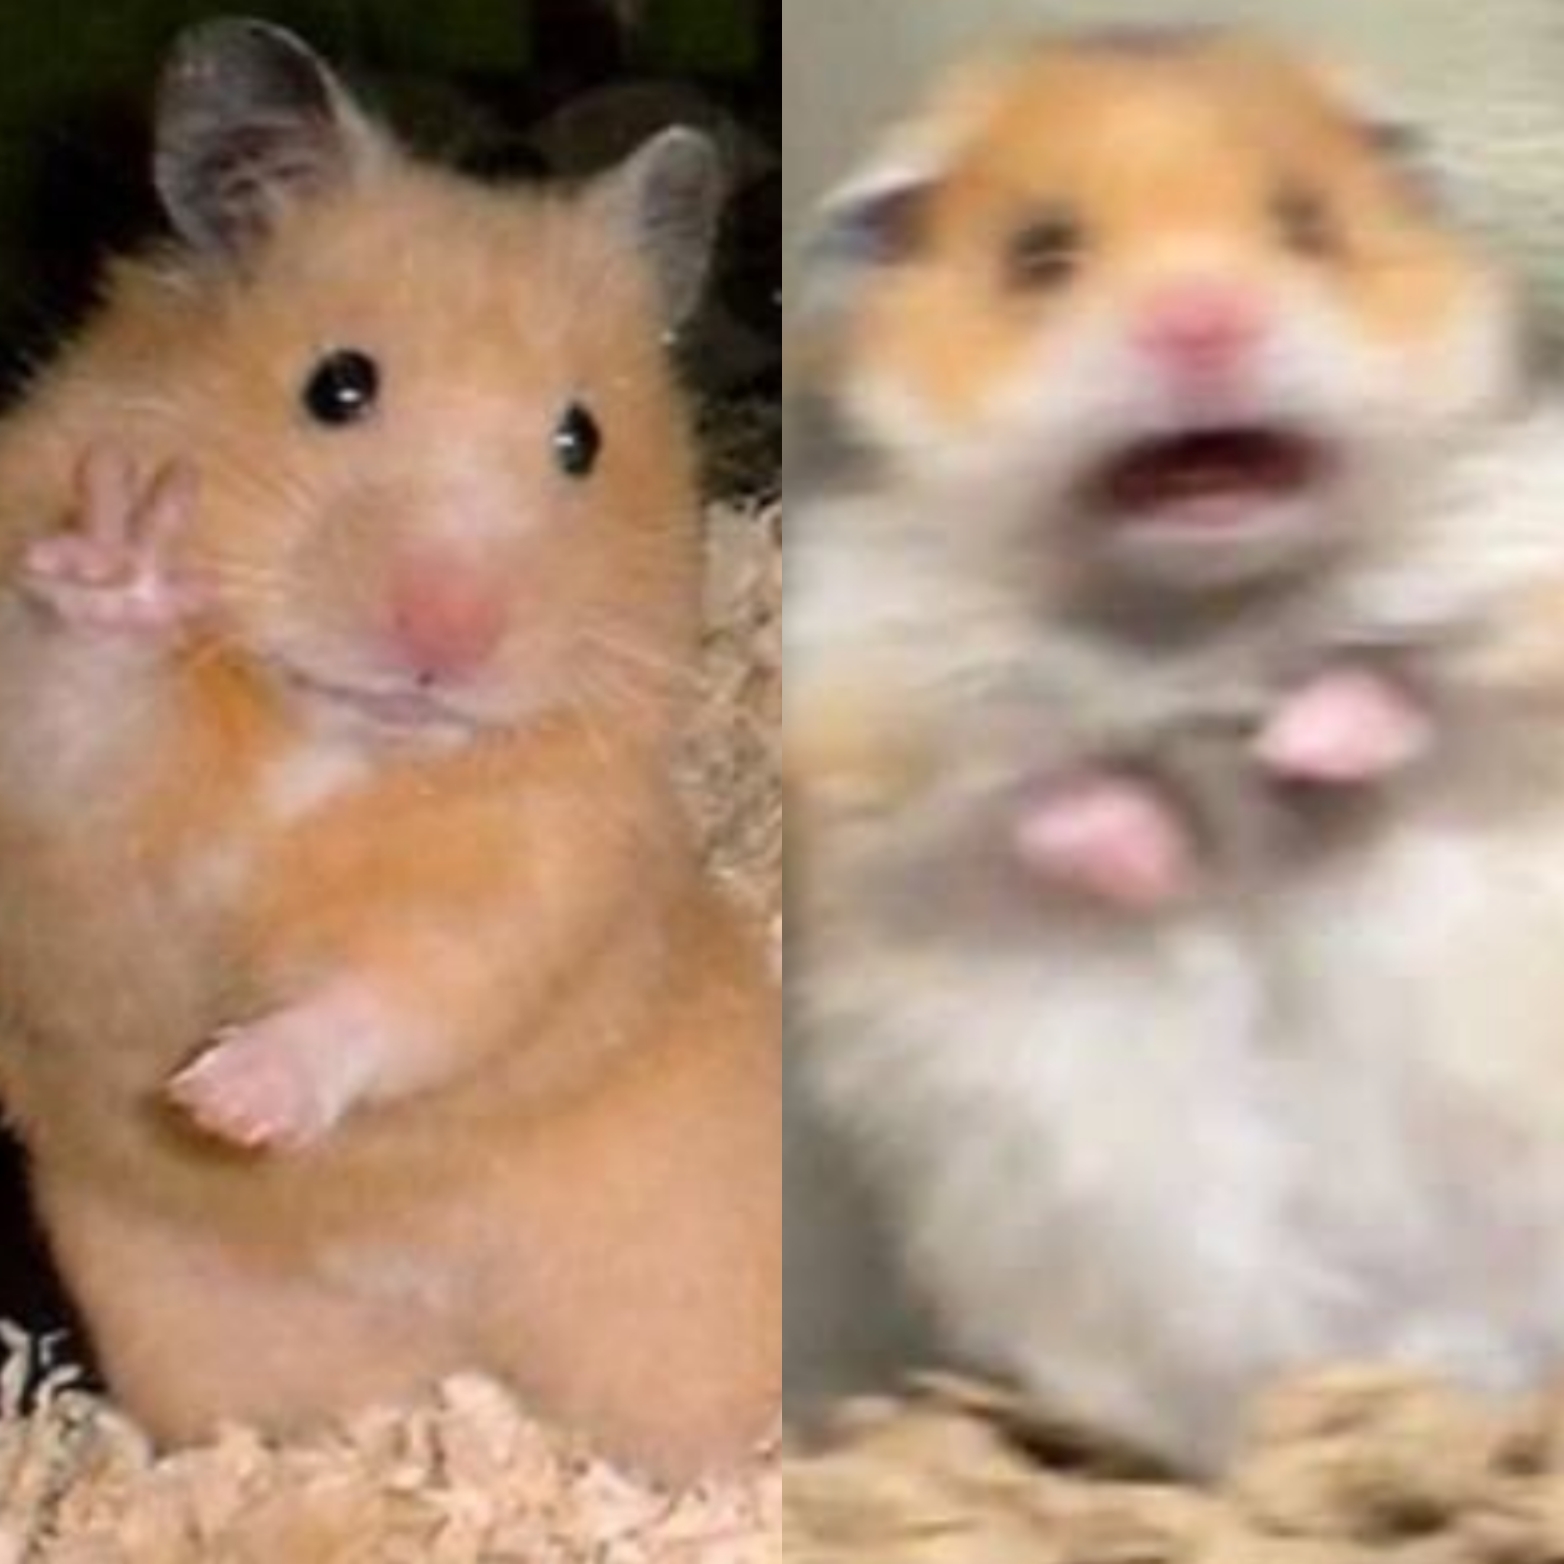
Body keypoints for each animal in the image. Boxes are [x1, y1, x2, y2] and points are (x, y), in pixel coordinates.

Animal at [0, 19, 778, 1480]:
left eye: (581, 440)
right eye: (337, 385)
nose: (447, 636)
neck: (337, 739)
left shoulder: (540, 870)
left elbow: (408, 990)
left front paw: (229, 1101)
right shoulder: (73, 835)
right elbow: (79, 722)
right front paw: (126, 558)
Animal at [787, 28, 1564, 1469]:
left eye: (1307, 226)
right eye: (1039, 254)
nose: (1204, 322)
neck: (1201, 617)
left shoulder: (1525, 612)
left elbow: (1400, 692)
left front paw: (1300, 751)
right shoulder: (871, 747)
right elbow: (1042, 800)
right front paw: (1167, 862)